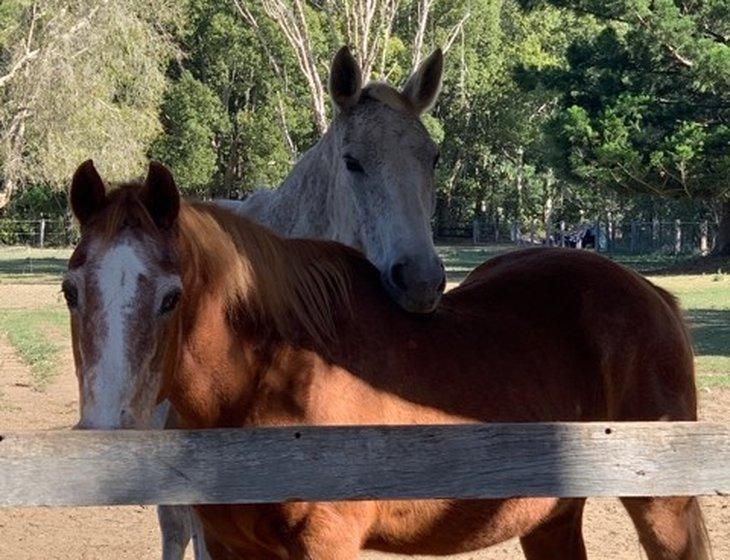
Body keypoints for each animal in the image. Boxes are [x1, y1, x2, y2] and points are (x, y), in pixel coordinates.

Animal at [67, 160, 704, 556]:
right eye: (71, 291)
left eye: (171, 297)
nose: (104, 441)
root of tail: (654, 295)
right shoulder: (229, 548)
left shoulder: (325, 545)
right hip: (551, 516)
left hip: (661, 506)